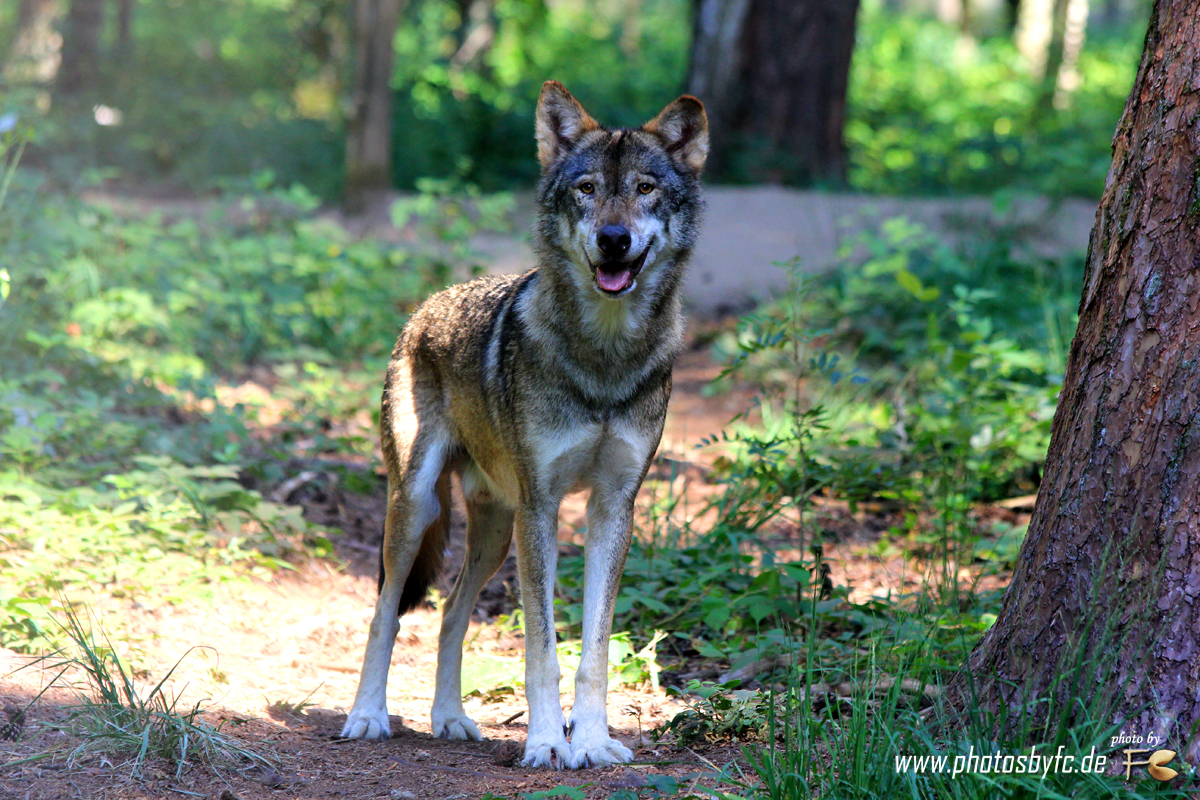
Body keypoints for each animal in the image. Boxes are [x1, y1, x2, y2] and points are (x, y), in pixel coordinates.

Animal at [338, 79, 705, 767]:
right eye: (587, 188)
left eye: (644, 187)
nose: (613, 239)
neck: (603, 360)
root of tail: (424, 309)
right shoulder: (543, 507)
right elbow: (542, 648)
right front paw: (545, 745)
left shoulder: (613, 508)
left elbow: (593, 651)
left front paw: (593, 742)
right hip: (418, 507)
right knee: (385, 612)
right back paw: (367, 716)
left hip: (494, 535)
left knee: (451, 614)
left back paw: (450, 718)